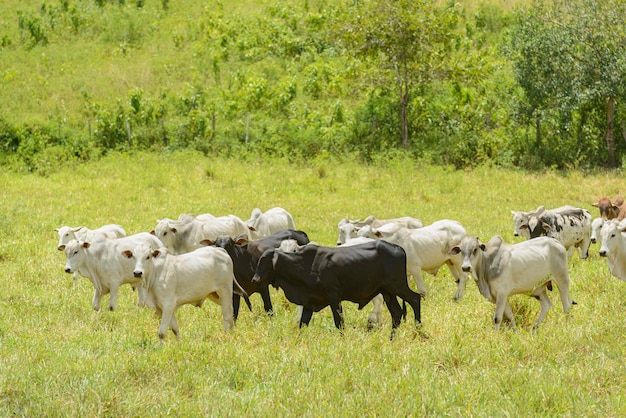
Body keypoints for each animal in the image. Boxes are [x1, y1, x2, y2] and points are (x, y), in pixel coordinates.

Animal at [249, 238, 420, 340]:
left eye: (264, 261)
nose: (255, 279)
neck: (304, 266)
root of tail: (398, 248)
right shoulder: (309, 302)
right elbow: (302, 324)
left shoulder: (334, 297)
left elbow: (339, 323)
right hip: (387, 292)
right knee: (396, 313)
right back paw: (392, 338)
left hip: (398, 286)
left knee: (415, 299)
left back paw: (418, 330)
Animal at [448, 237, 576, 332]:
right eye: (461, 251)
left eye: (475, 249)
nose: (465, 267)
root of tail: (557, 243)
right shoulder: (497, 296)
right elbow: (509, 314)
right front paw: (515, 331)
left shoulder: (502, 293)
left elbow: (498, 317)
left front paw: (495, 335)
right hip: (539, 290)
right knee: (546, 305)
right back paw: (534, 328)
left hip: (562, 280)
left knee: (567, 305)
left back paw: (567, 328)